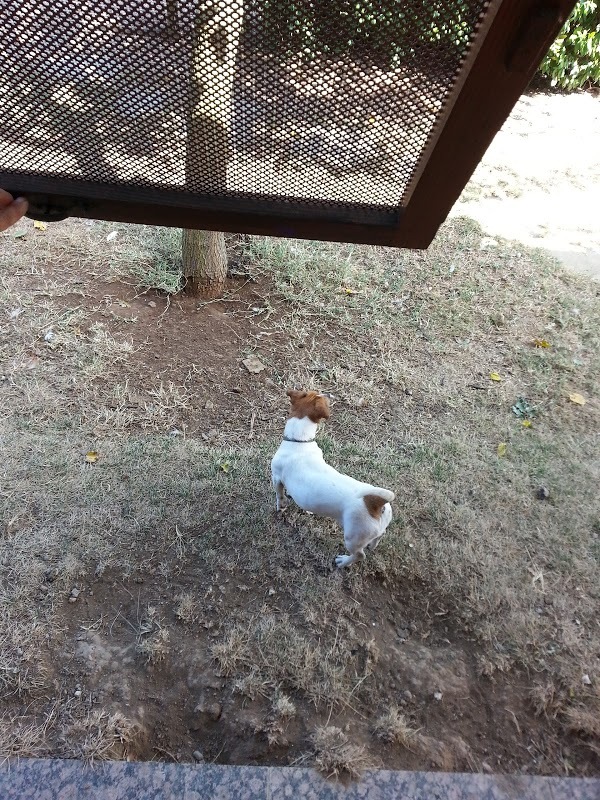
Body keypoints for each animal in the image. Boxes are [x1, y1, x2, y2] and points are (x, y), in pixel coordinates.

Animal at [270, 390, 394, 564]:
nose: (329, 394)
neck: (300, 441)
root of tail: (374, 502)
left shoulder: (276, 477)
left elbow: (279, 495)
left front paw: (281, 506)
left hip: (352, 537)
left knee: (359, 555)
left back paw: (343, 562)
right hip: (376, 530)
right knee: (380, 536)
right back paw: (373, 546)